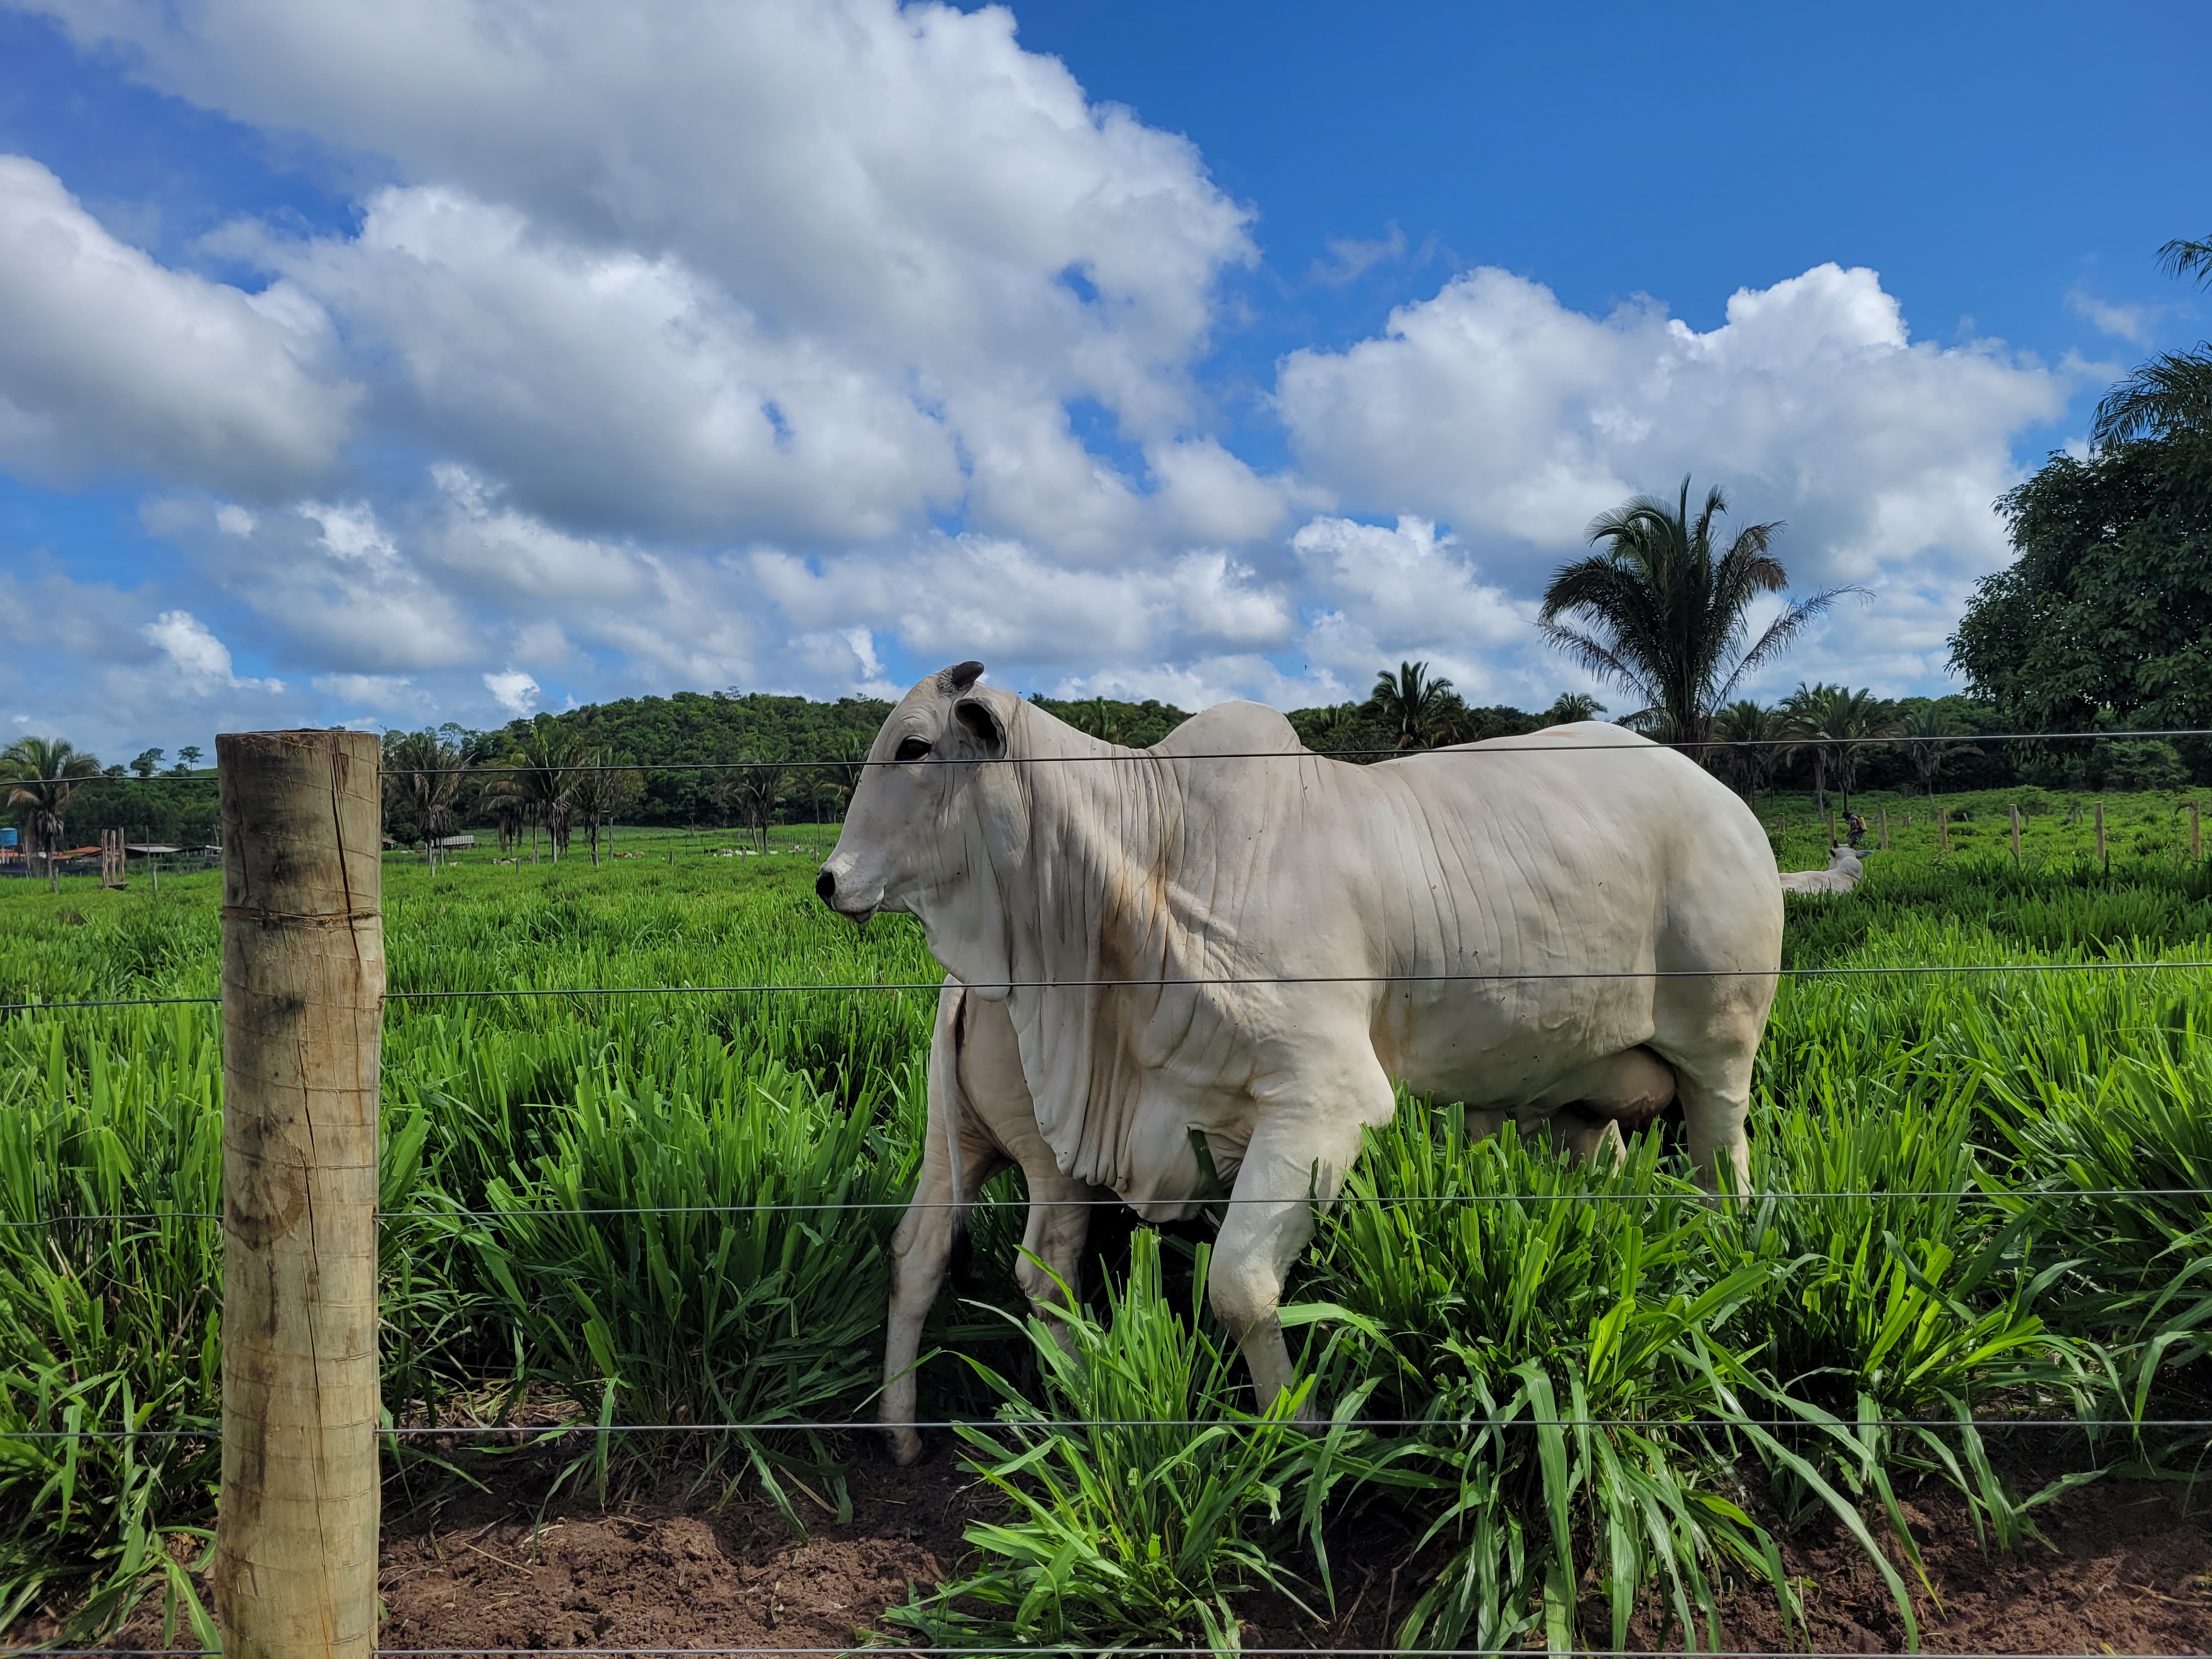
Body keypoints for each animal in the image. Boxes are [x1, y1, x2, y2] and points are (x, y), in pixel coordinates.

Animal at [822, 663, 1787, 1451]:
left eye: (914, 746)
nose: (831, 881)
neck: (1147, 858)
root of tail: (1724, 798)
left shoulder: (1328, 1100)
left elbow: (1240, 1285)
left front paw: (1299, 1429)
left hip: (1723, 1045)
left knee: (1724, 1168)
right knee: (936, 1254)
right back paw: (916, 1434)